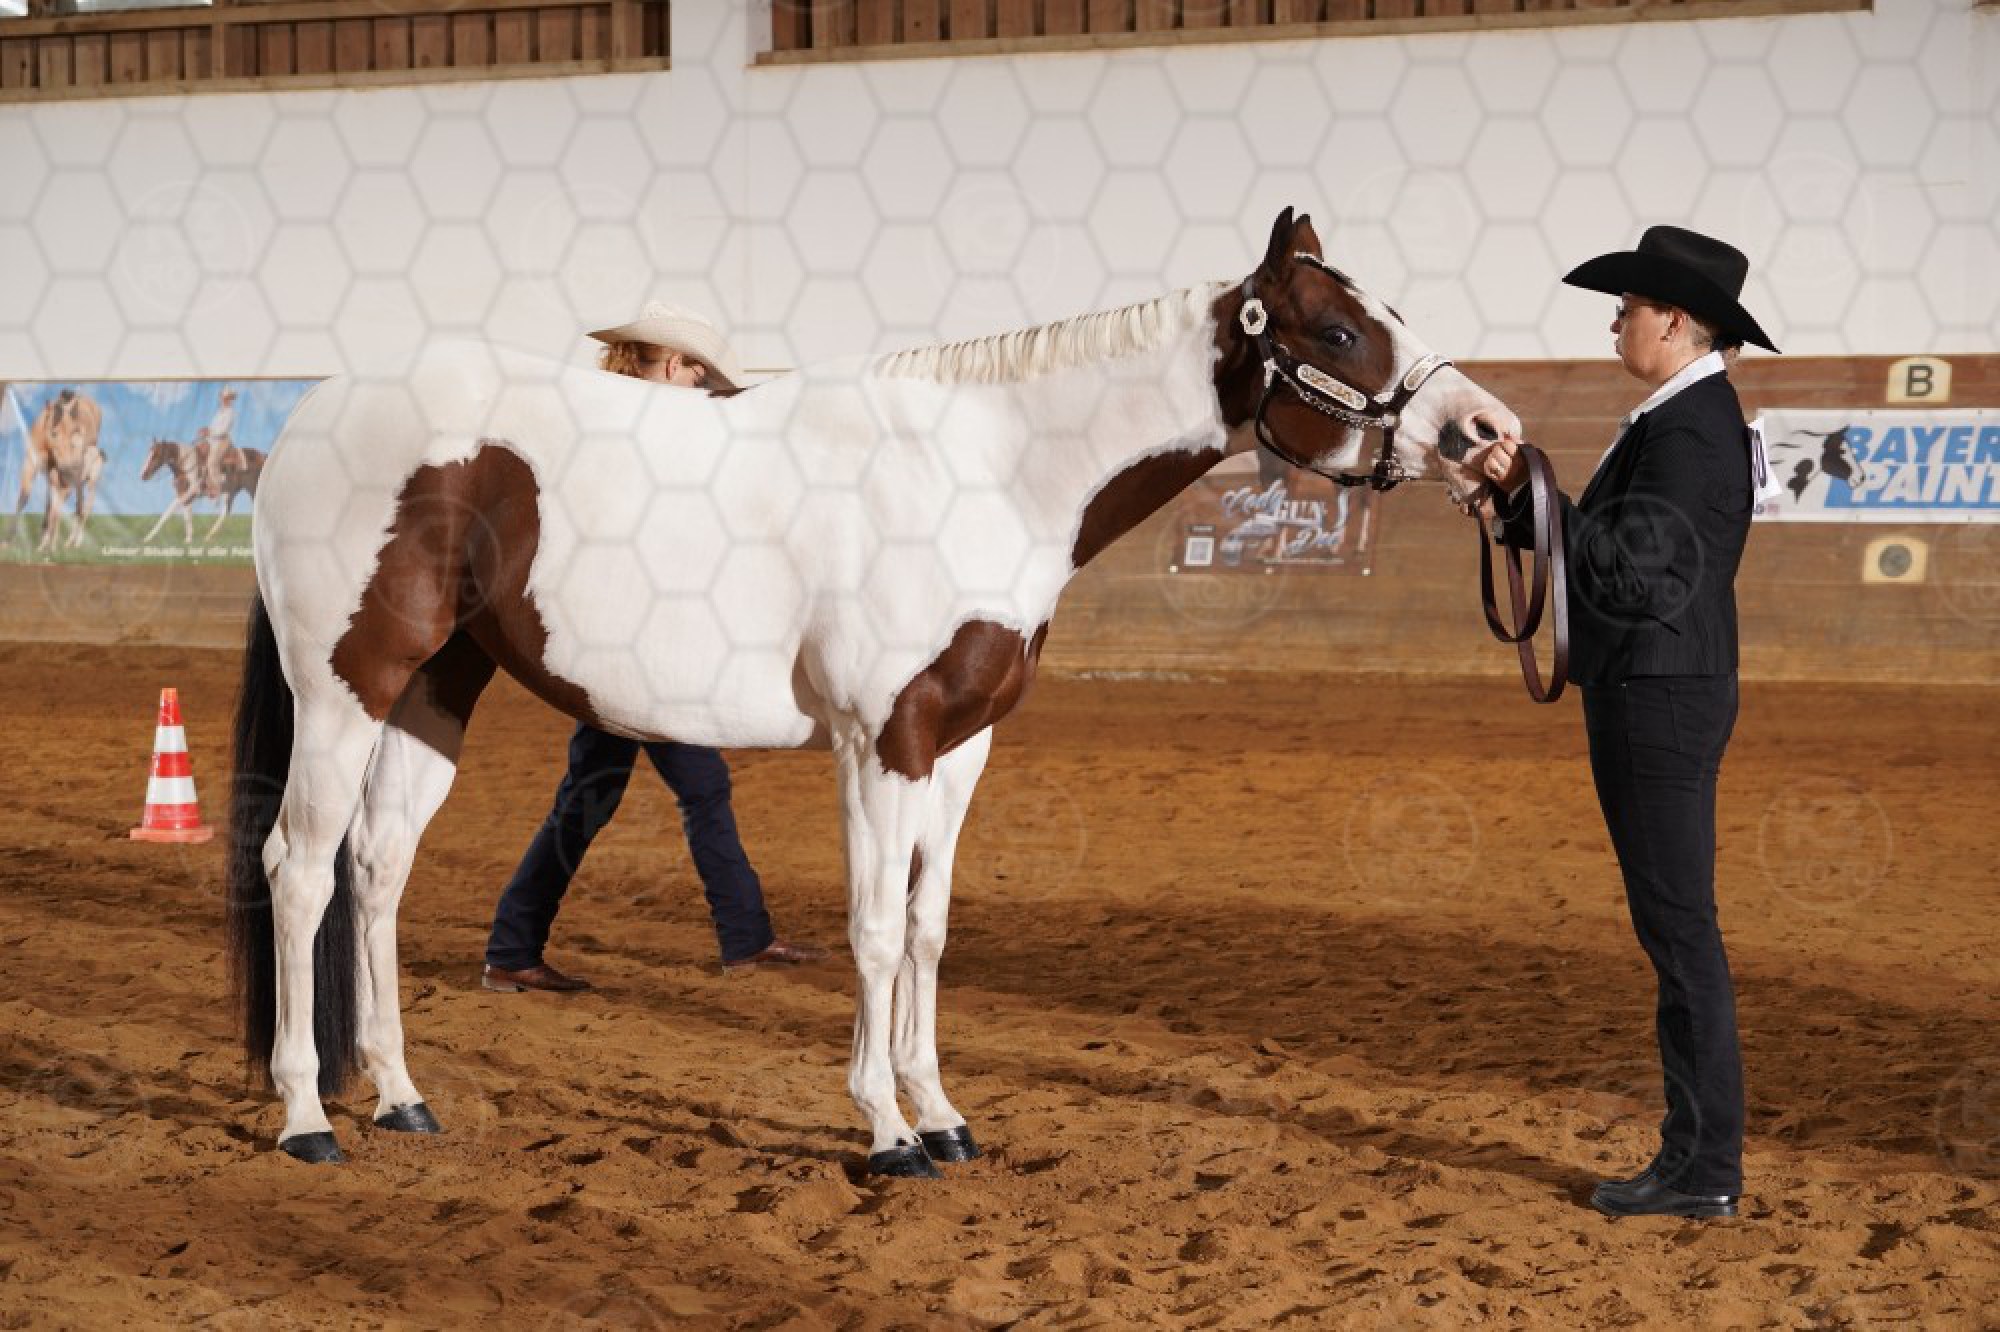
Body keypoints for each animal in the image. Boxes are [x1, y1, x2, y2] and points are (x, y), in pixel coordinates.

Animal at [13, 387, 105, 555]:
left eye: (75, 431)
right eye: (53, 432)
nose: (70, 465)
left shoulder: (62, 482)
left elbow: (55, 511)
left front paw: (50, 547)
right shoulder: (32, 464)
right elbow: (25, 499)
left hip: (89, 483)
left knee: (83, 509)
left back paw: (74, 544)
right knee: (76, 507)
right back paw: (66, 543)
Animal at [223, 209, 1521, 1175]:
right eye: (1340, 329)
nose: (1488, 430)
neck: (983, 470)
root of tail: (312, 415)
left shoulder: (957, 750)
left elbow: (931, 927)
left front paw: (941, 1113)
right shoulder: (879, 742)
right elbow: (875, 927)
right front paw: (887, 1130)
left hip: (435, 689)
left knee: (375, 869)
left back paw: (400, 1098)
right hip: (345, 684)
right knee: (299, 867)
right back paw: (307, 1117)